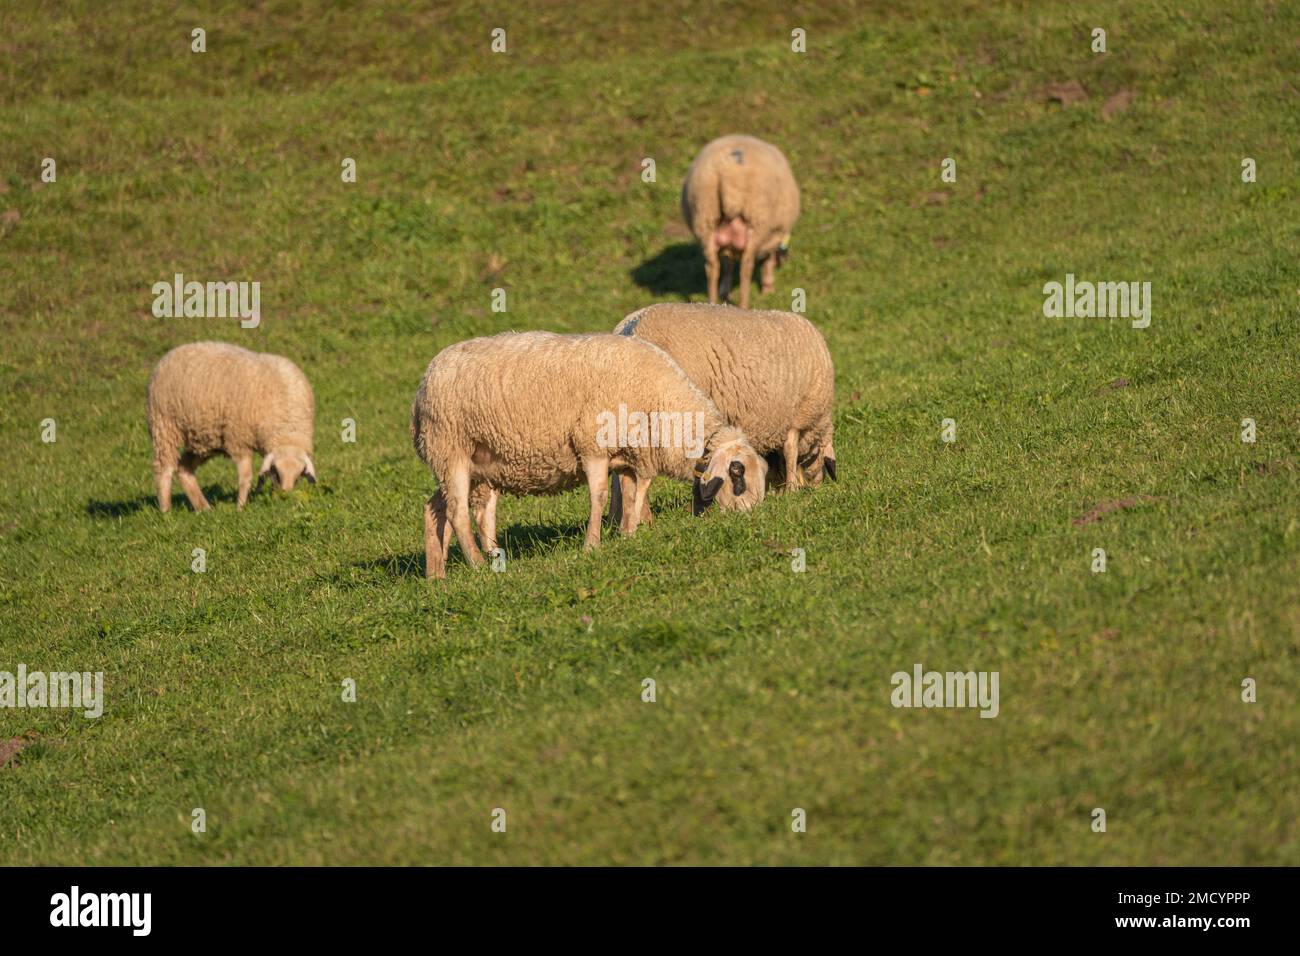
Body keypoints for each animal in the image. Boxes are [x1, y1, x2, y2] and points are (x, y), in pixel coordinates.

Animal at [146, 342, 316, 512]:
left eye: (299, 476)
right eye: (277, 471)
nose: (285, 496)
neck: (288, 431)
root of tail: (173, 352)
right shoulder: (238, 440)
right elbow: (245, 478)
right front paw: (240, 507)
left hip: (203, 439)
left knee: (184, 468)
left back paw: (203, 508)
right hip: (164, 425)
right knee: (164, 468)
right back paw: (166, 510)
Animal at [410, 331, 767, 579]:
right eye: (737, 473)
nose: (749, 521)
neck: (661, 401)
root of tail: (425, 380)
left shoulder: (630, 455)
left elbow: (633, 492)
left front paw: (628, 535)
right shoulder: (592, 446)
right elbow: (599, 495)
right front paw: (592, 545)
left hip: (468, 462)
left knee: (437, 509)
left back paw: (439, 574)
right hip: (451, 449)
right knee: (457, 511)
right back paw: (477, 563)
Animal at [609, 302, 835, 527]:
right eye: (818, 457)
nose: (816, 487)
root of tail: (631, 327)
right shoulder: (797, 417)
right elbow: (790, 452)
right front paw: (791, 489)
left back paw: (615, 517)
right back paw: (643, 518)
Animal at [680, 134, 800, 310]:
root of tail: (729, 173)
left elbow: (728, 263)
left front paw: (725, 291)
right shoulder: (773, 234)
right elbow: (768, 261)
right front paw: (768, 288)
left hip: (705, 219)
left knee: (712, 267)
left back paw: (713, 303)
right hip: (757, 223)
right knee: (746, 267)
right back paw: (744, 305)